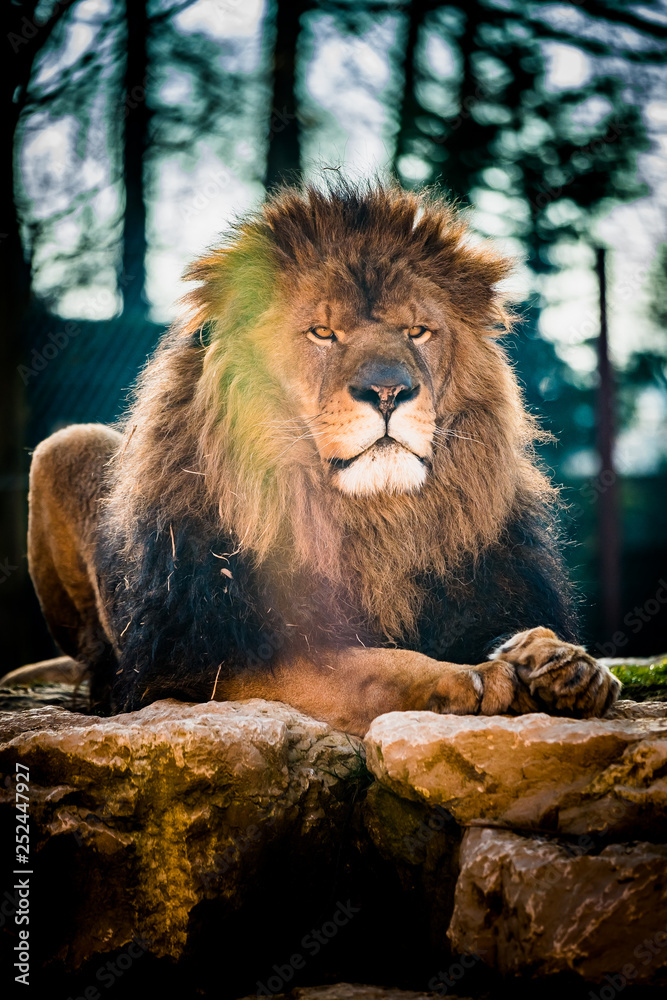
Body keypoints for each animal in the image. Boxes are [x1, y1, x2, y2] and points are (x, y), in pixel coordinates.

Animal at [10, 181, 620, 735]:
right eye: (323, 332)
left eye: (418, 331)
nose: (389, 391)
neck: (374, 521)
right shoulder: (196, 665)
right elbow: (358, 668)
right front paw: (466, 678)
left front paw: (565, 662)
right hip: (65, 446)